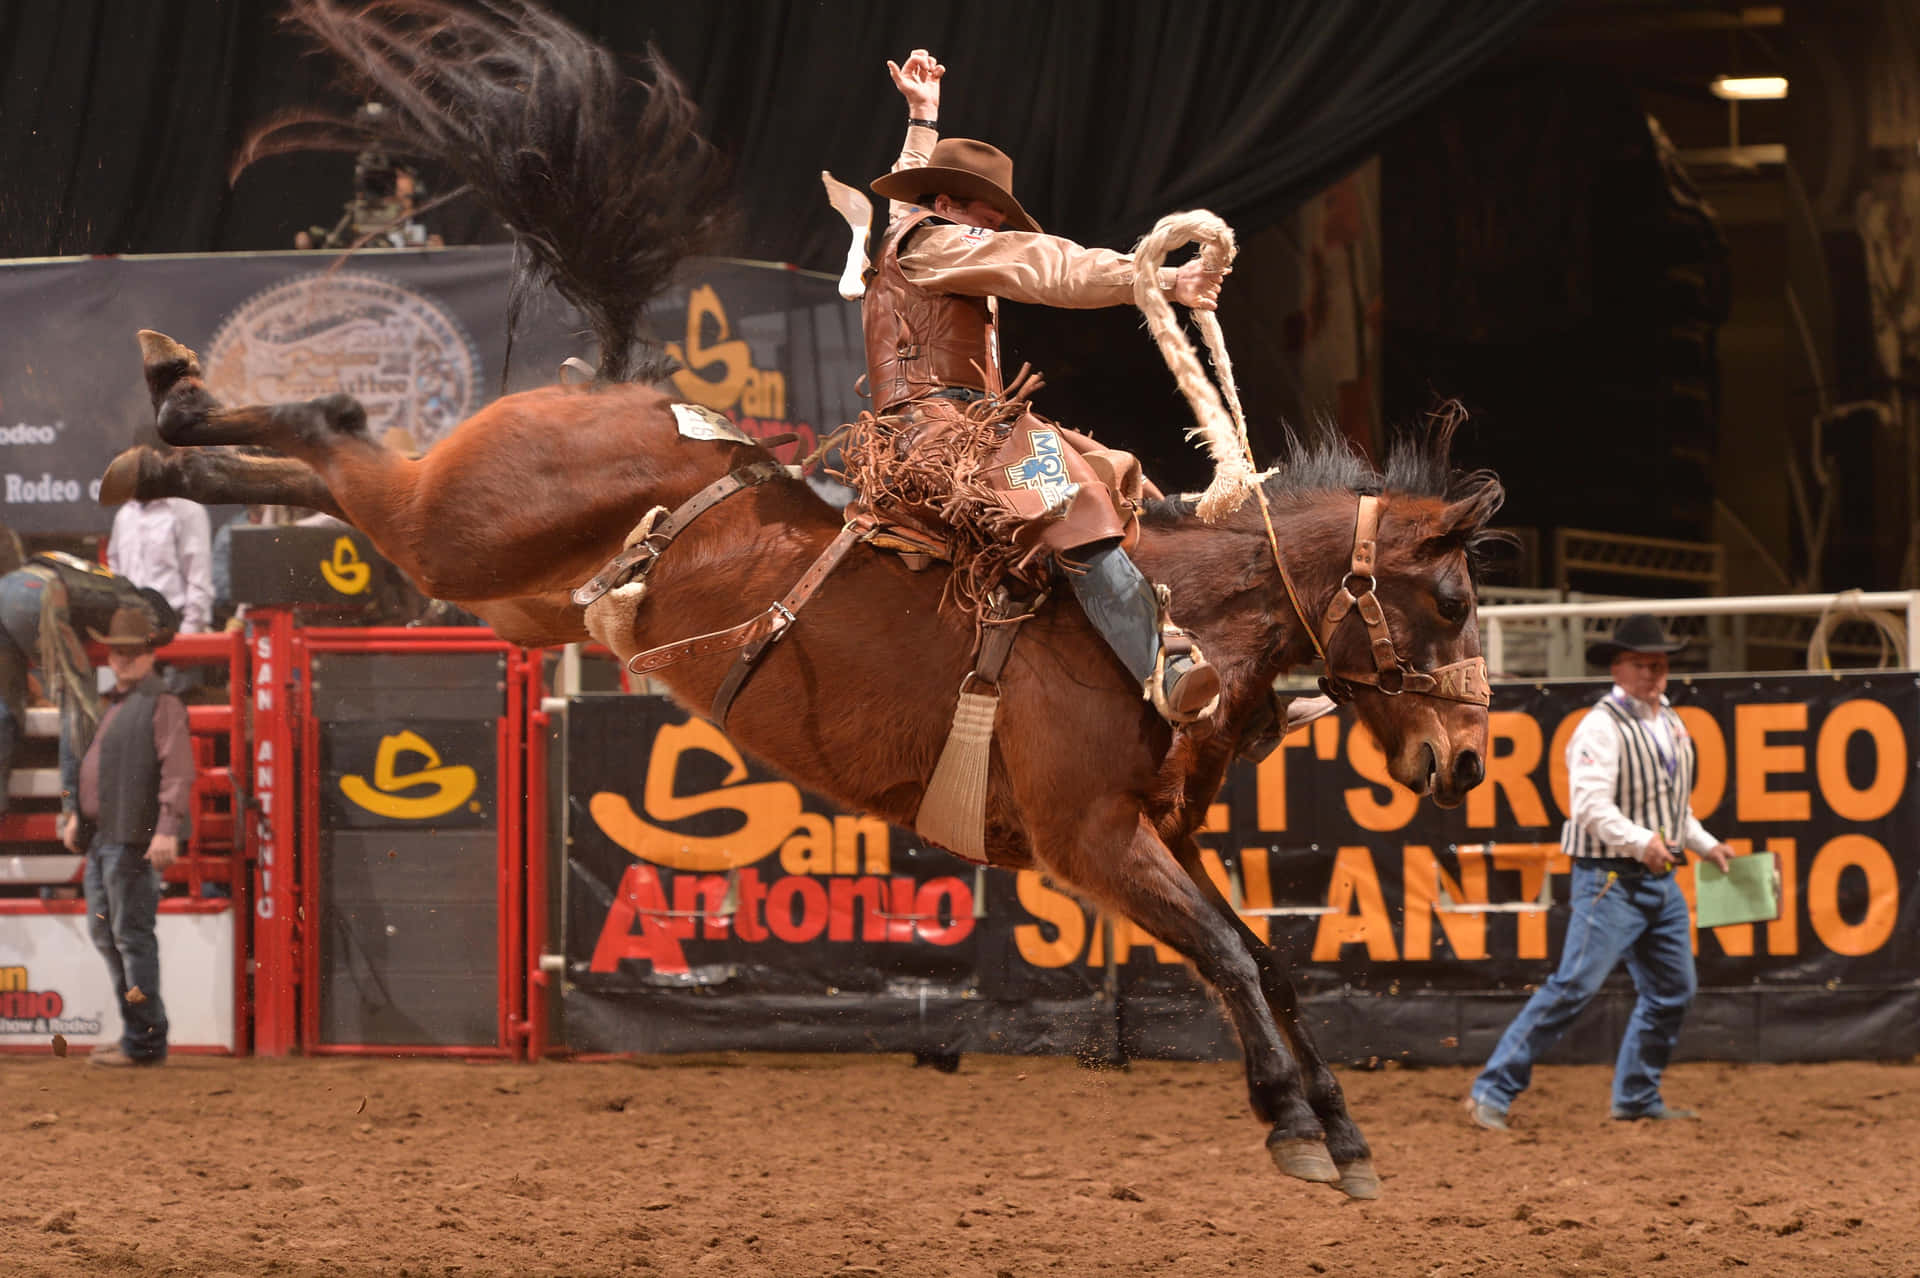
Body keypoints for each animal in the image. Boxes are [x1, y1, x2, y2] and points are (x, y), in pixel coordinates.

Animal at [105, 0, 1505, 1197]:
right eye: (1447, 600)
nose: (1464, 763)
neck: (1174, 618)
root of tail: (613, 386)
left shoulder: (1166, 834)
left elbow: (1262, 954)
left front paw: (1342, 1128)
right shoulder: (1092, 839)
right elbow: (1223, 956)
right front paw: (1294, 1126)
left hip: (506, 592)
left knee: (337, 464)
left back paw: (166, 446)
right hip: (458, 534)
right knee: (341, 426)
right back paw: (174, 400)